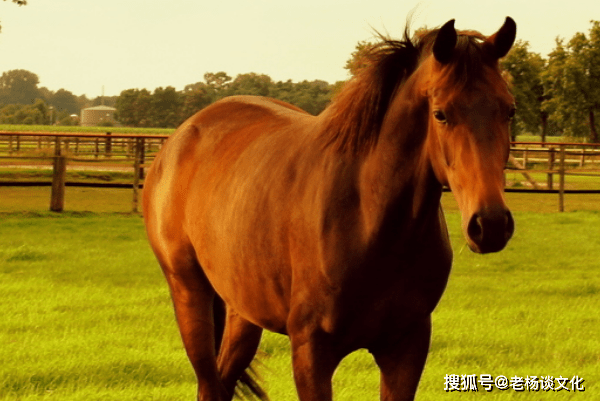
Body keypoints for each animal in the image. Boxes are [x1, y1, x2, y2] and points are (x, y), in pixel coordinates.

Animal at [144, 16, 516, 400]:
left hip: (243, 309)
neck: (368, 219)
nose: (490, 224)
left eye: (509, 110)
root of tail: (181, 137)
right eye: (441, 114)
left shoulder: (406, 347)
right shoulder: (311, 351)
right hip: (189, 292)